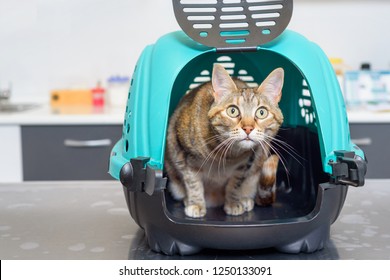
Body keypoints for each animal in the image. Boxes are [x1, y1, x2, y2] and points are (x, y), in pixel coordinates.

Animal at [165, 64, 284, 219]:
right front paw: (196, 204)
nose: (248, 128)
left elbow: (235, 184)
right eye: (232, 111)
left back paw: (244, 199)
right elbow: (193, 182)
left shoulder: (244, 165)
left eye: (261, 112)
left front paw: (233, 202)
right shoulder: (183, 154)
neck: (227, 155)